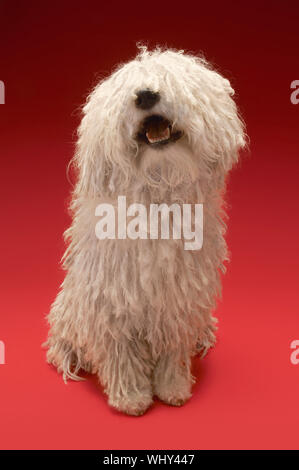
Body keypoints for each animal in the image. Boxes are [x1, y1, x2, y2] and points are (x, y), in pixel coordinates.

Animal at [45, 46, 246, 414]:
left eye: (169, 80)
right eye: (130, 88)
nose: (146, 95)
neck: (158, 196)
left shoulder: (178, 296)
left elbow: (173, 347)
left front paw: (173, 388)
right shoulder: (112, 299)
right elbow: (120, 350)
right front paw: (131, 397)